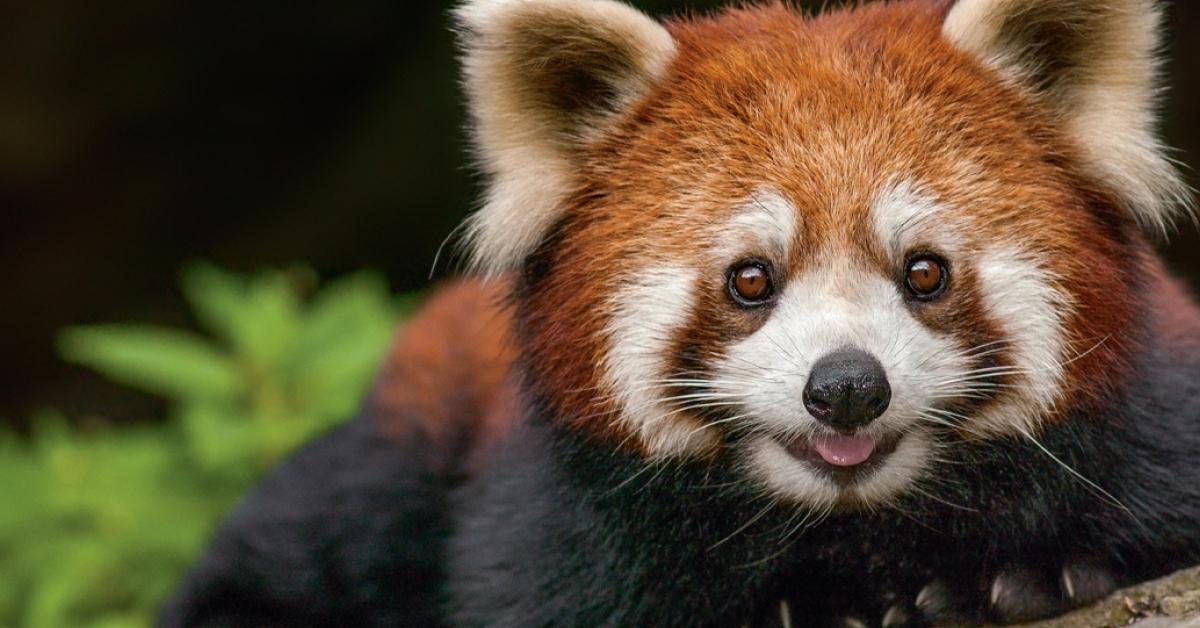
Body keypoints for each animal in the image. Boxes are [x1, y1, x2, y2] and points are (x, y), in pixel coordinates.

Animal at [162, 1, 1200, 628]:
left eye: (924, 272)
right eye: (750, 280)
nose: (847, 387)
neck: (849, 529)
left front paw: (1026, 575)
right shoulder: (543, 529)